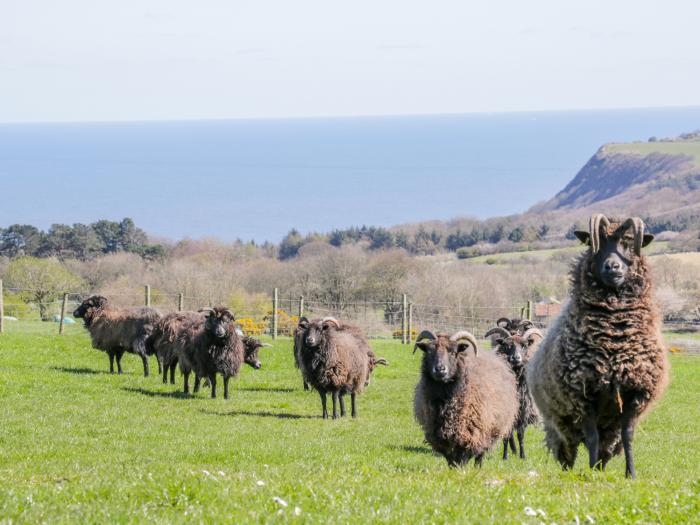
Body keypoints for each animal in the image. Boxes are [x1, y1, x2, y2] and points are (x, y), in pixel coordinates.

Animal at [410, 330, 520, 468]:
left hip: (490, 430)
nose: (440, 369)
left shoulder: (470, 433)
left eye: (453, 352)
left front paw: (462, 470)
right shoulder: (439, 436)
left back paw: (478, 468)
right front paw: (453, 469)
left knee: (480, 454)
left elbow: (463, 456)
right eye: (429, 352)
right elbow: (450, 458)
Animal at [484, 326, 544, 456]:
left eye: (524, 345)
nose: (516, 358)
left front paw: (522, 455)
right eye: (507, 345)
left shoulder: (523, 410)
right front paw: (505, 456)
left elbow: (520, 434)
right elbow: (507, 435)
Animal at [528, 214, 668, 478]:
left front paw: (631, 475)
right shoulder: (583, 395)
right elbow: (591, 437)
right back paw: (573, 472)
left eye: (627, 242)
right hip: (559, 425)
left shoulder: (635, 393)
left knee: (606, 448)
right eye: (597, 244)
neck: (614, 338)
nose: (613, 267)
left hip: (608, 429)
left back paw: (601, 469)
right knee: (568, 452)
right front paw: (591, 474)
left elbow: (628, 436)